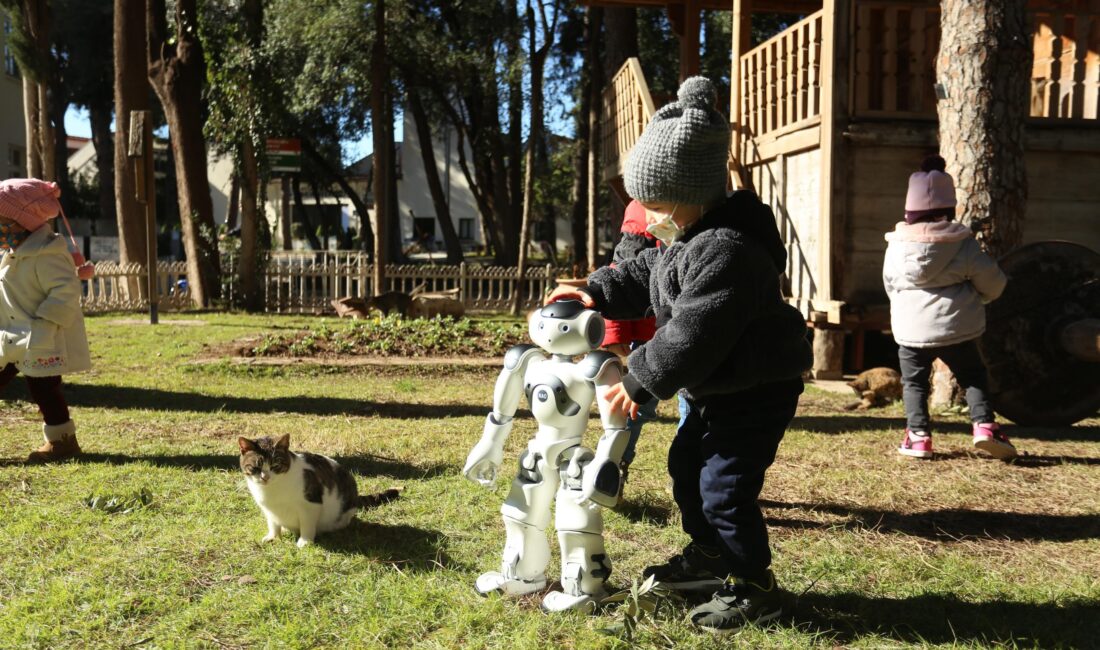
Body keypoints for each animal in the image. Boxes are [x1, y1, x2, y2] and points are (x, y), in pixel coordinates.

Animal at [238, 435, 398, 547]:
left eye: (275, 465)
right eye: (256, 467)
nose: (265, 477)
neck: (272, 490)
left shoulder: (310, 504)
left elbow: (307, 524)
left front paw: (305, 541)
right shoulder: (268, 509)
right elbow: (273, 523)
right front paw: (274, 536)